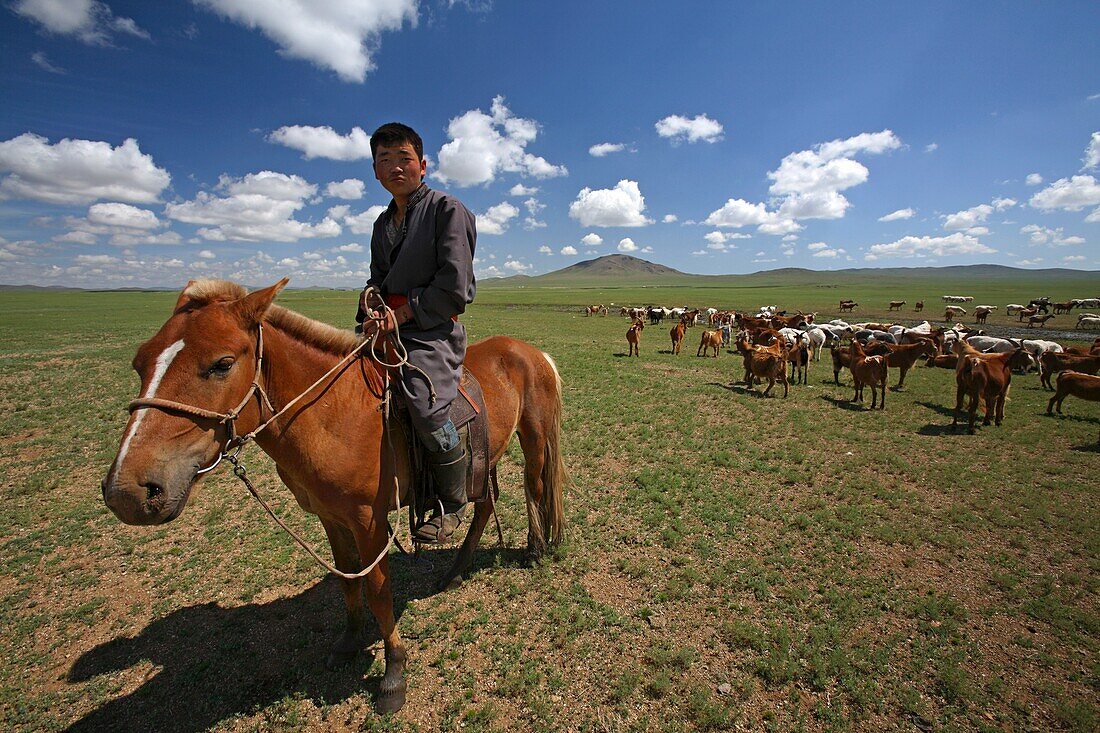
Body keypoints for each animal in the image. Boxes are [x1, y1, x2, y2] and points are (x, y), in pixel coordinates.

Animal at [100, 278, 567, 708]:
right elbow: (348, 579)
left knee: (533, 485)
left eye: (222, 363)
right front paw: (348, 642)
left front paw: (393, 673)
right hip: (485, 457)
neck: (331, 411)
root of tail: (532, 352)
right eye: (140, 362)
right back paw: (454, 571)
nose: (128, 491)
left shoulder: (368, 520)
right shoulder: (331, 516)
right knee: (486, 504)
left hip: (533, 436)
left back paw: (533, 549)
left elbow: (378, 590)